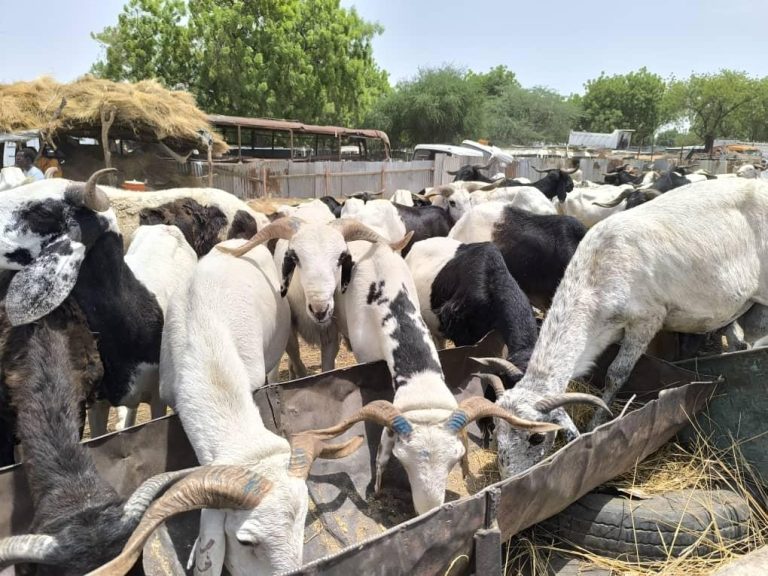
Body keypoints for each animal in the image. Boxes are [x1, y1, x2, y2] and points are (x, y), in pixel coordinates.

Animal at [484, 178, 768, 480]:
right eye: (498, 429)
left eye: (536, 438)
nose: (511, 480)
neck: (596, 278)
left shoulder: (648, 319)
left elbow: (616, 374)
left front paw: (595, 426)